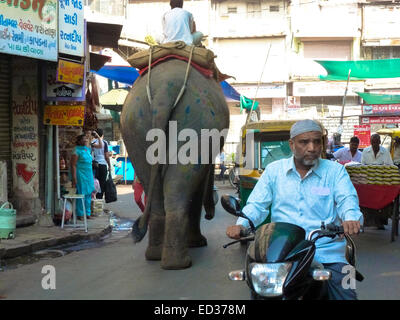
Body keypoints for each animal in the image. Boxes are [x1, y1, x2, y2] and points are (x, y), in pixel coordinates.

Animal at [120, 58, 230, 270]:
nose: (210, 214)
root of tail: (164, 89)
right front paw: (197, 243)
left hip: (134, 125)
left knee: (152, 181)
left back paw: (156, 255)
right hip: (198, 124)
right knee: (180, 184)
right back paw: (180, 262)